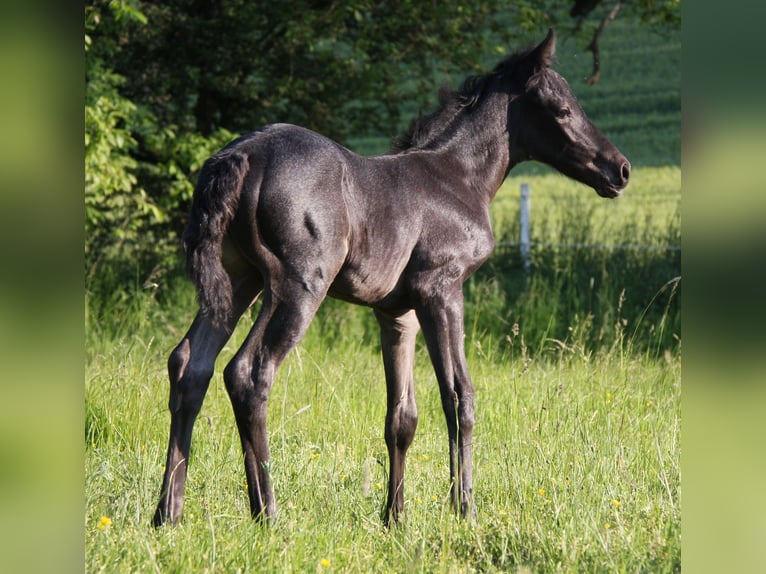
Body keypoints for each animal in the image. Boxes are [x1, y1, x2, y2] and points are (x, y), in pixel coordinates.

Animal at [152, 28, 632, 532]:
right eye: (561, 109)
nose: (619, 169)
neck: (458, 179)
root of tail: (241, 155)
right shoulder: (442, 290)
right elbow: (459, 397)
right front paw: (464, 510)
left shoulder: (397, 313)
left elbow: (402, 416)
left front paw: (395, 519)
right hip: (298, 285)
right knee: (247, 372)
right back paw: (268, 514)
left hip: (237, 281)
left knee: (190, 365)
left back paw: (169, 514)